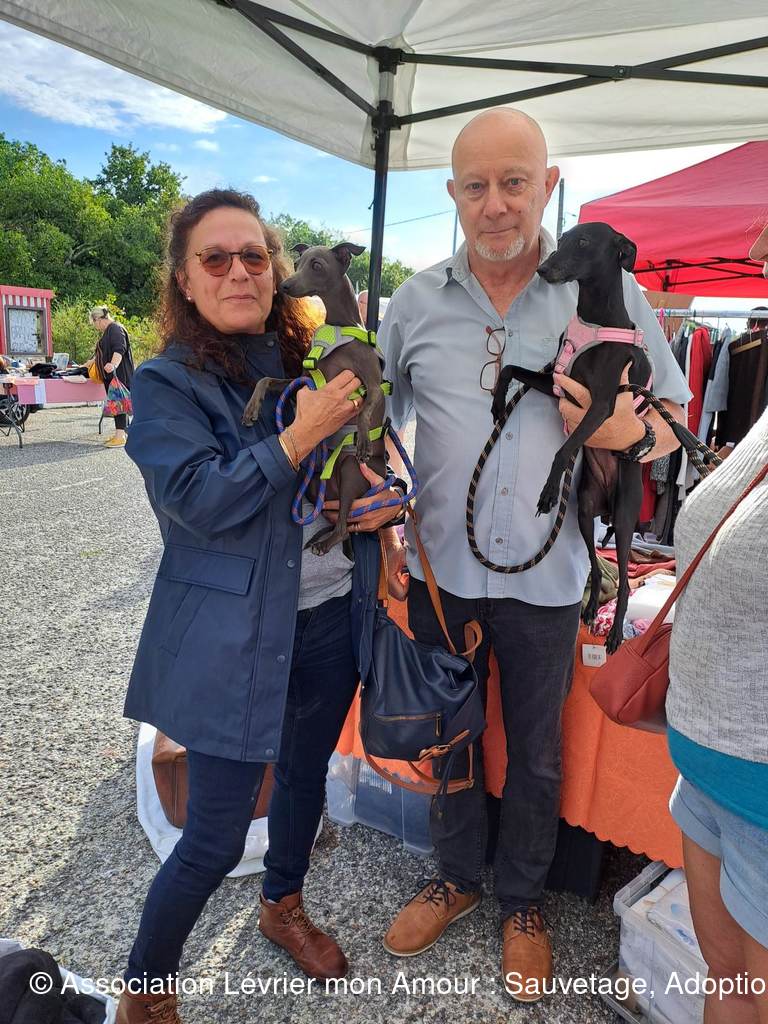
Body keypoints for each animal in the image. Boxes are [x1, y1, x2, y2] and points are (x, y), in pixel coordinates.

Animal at [242, 241, 388, 555]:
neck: (339, 327)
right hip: (311, 483)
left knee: (345, 527)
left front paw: (364, 439)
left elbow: (365, 409)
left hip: (350, 471)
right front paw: (251, 409)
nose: (284, 285)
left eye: (317, 265)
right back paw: (318, 537)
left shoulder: (374, 385)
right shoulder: (303, 381)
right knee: (338, 521)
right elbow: (266, 380)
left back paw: (324, 543)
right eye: (298, 263)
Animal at [492, 222, 667, 654]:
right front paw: (498, 405)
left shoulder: (601, 405)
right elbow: (511, 370)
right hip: (585, 511)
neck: (594, 318)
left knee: (623, 581)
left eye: (584, 242)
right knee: (593, 561)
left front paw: (547, 491)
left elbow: (564, 448)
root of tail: (607, 506)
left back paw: (616, 631)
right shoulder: (558, 383)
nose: (543, 270)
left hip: (625, 516)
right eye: (563, 239)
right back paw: (588, 610)